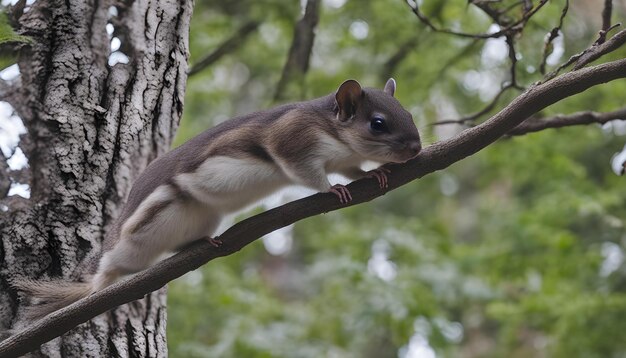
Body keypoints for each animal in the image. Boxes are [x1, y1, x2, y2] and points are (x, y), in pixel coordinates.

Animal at [14, 79, 422, 324]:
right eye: (378, 123)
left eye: (410, 113)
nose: (417, 149)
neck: (334, 132)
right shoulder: (293, 141)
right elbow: (305, 172)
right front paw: (332, 190)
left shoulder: (343, 158)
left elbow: (354, 168)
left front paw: (376, 173)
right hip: (141, 234)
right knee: (109, 268)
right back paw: (95, 284)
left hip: (200, 217)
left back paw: (202, 242)